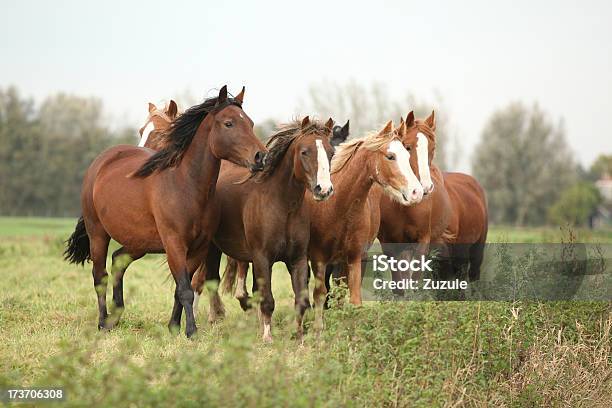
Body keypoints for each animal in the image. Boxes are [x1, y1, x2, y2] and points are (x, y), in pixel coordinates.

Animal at [63, 86, 266, 338]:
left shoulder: (198, 248)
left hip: (138, 241)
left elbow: (183, 287)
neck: (185, 185)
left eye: (250, 122)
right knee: (100, 276)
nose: (260, 156)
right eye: (229, 123)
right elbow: (186, 288)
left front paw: (174, 327)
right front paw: (191, 331)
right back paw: (103, 323)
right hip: (98, 234)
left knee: (118, 260)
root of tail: (101, 161)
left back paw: (116, 316)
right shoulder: (174, 244)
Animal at [191, 116, 334, 342]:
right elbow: (267, 299)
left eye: (331, 152)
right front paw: (267, 337)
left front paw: (299, 337)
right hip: (210, 248)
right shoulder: (262, 258)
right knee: (206, 280)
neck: (283, 204)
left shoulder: (298, 259)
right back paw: (209, 319)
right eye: (304, 151)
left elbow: (300, 301)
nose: (324, 190)